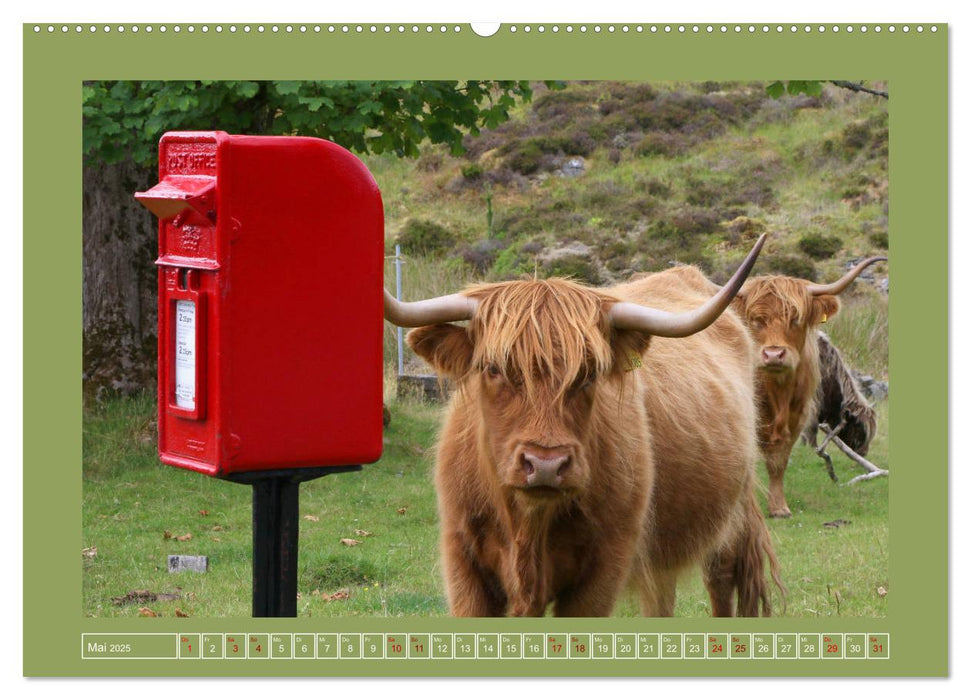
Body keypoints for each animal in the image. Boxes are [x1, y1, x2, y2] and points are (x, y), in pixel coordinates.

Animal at [386, 237, 784, 616]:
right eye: (493, 368)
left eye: (590, 373)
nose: (546, 464)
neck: (528, 525)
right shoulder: (464, 565)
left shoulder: (602, 570)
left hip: (730, 519)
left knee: (721, 580)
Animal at [732, 254, 884, 516]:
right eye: (755, 320)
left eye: (796, 319)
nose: (773, 355)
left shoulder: (799, 412)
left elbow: (779, 460)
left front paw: (779, 507)